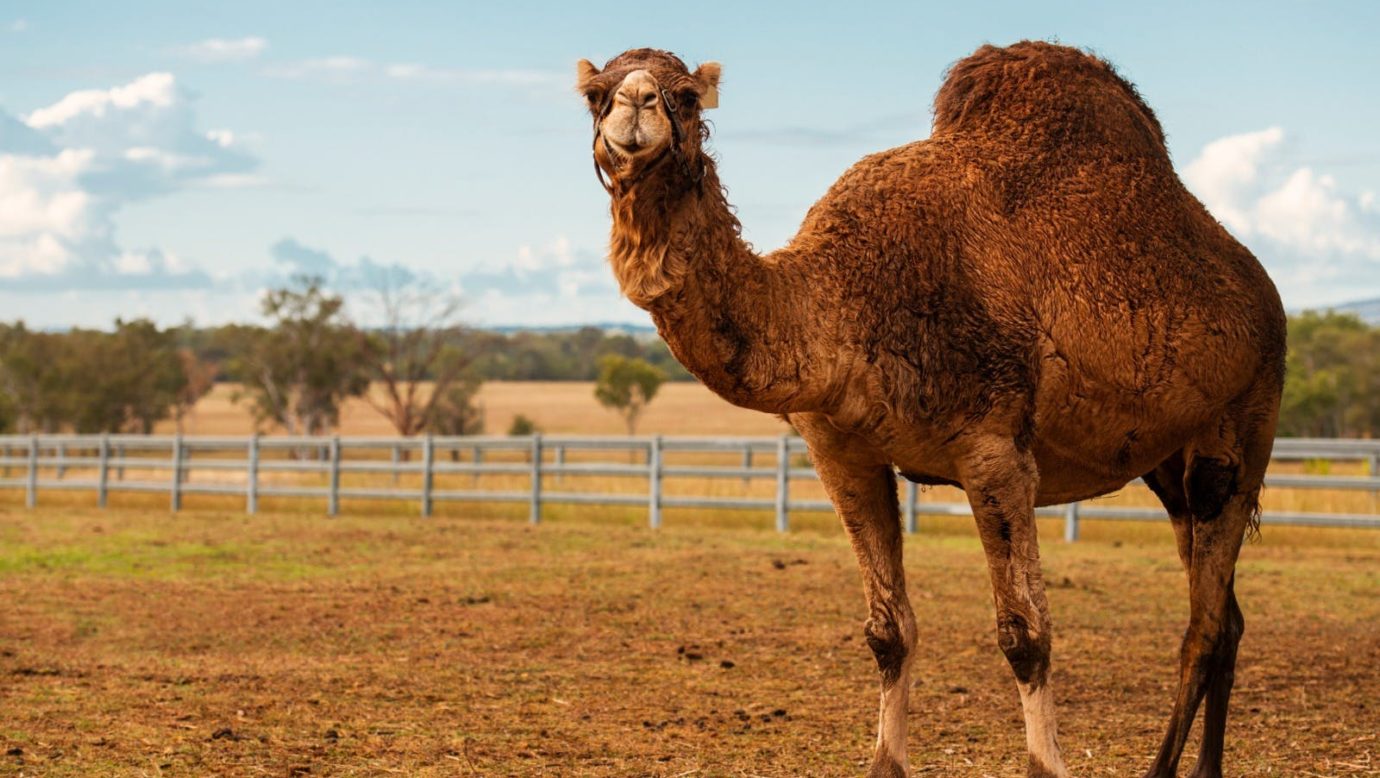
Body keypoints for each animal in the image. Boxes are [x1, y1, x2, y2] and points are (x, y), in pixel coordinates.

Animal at [574, 42, 1286, 778]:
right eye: (595, 95)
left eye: (686, 96)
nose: (635, 106)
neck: (841, 297)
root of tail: (1263, 290)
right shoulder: (841, 451)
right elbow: (888, 630)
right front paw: (885, 761)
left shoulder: (995, 449)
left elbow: (1025, 633)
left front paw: (1045, 763)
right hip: (1169, 465)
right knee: (1226, 614)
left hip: (1247, 420)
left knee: (1205, 621)